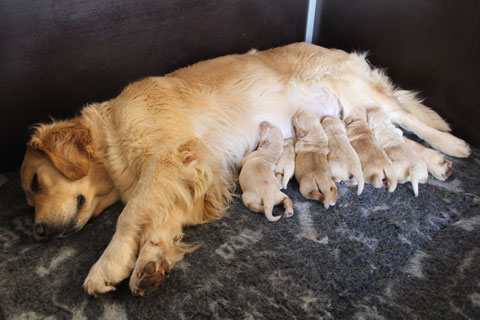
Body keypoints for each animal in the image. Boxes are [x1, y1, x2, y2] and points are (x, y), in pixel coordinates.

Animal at [18, 42, 468, 298]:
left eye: (37, 182)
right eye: (28, 195)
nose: (37, 232)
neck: (113, 130)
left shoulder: (172, 159)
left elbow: (130, 216)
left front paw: (107, 265)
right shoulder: (194, 179)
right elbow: (160, 218)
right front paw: (151, 263)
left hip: (354, 89)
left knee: (409, 117)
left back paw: (454, 145)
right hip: (352, 113)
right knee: (395, 134)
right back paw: (434, 163)